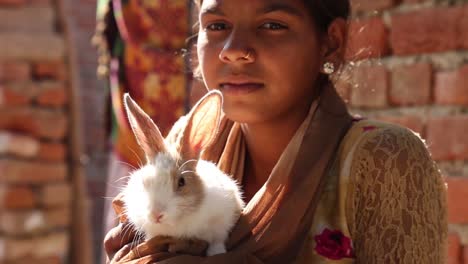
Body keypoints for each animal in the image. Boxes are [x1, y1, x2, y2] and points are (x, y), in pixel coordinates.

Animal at [120, 90, 245, 256]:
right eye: (145, 181)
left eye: (182, 182)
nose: (156, 215)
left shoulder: (223, 220)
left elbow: (217, 240)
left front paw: (217, 252)